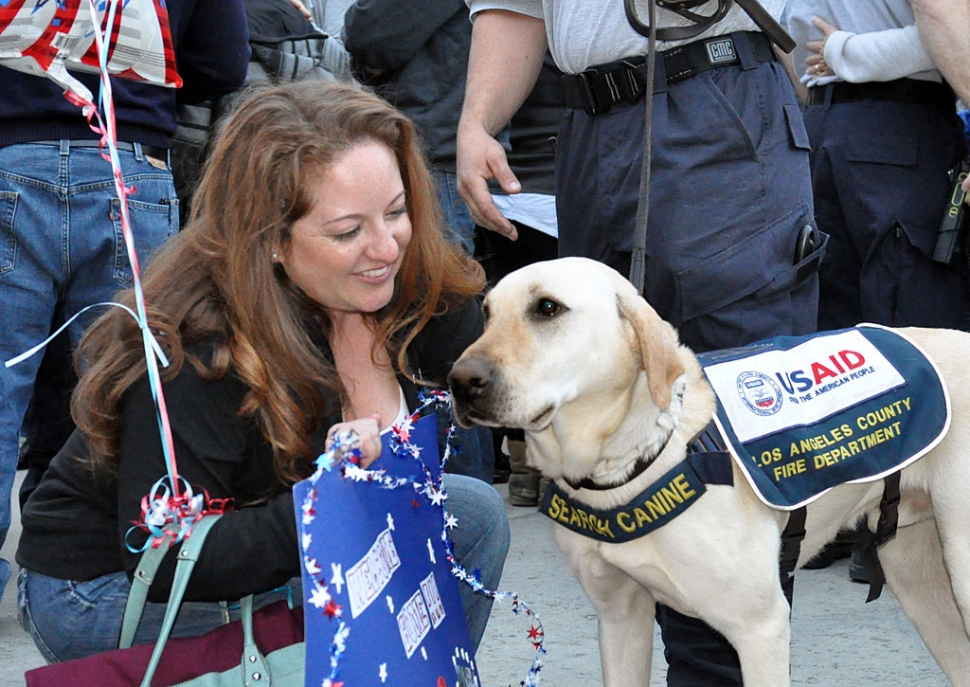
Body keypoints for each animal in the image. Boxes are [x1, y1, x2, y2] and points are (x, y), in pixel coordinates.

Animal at [446, 258, 968, 687]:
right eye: (487, 312)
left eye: (547, 308)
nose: (460, 381)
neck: (634, 461)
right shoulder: (620, 619)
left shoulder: (762, 630)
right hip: (917, 577)